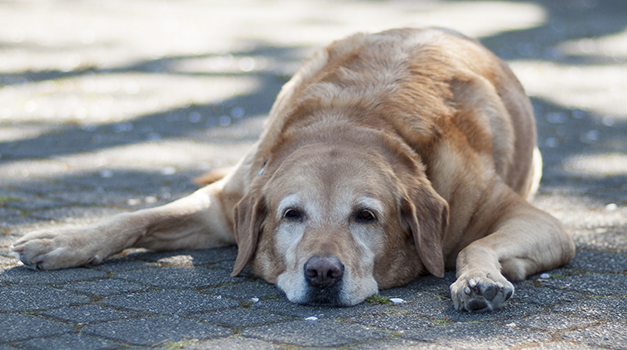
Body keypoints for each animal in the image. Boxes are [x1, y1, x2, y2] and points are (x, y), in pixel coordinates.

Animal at [13, 28, 576, 312]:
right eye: (291, 215)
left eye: (366, 217)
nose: (322, 273)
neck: (353, 122)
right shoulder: (226, 204)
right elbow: (136, 217)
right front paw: (66, 239)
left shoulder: (538, 221)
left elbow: (474, 246)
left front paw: (479, 279)